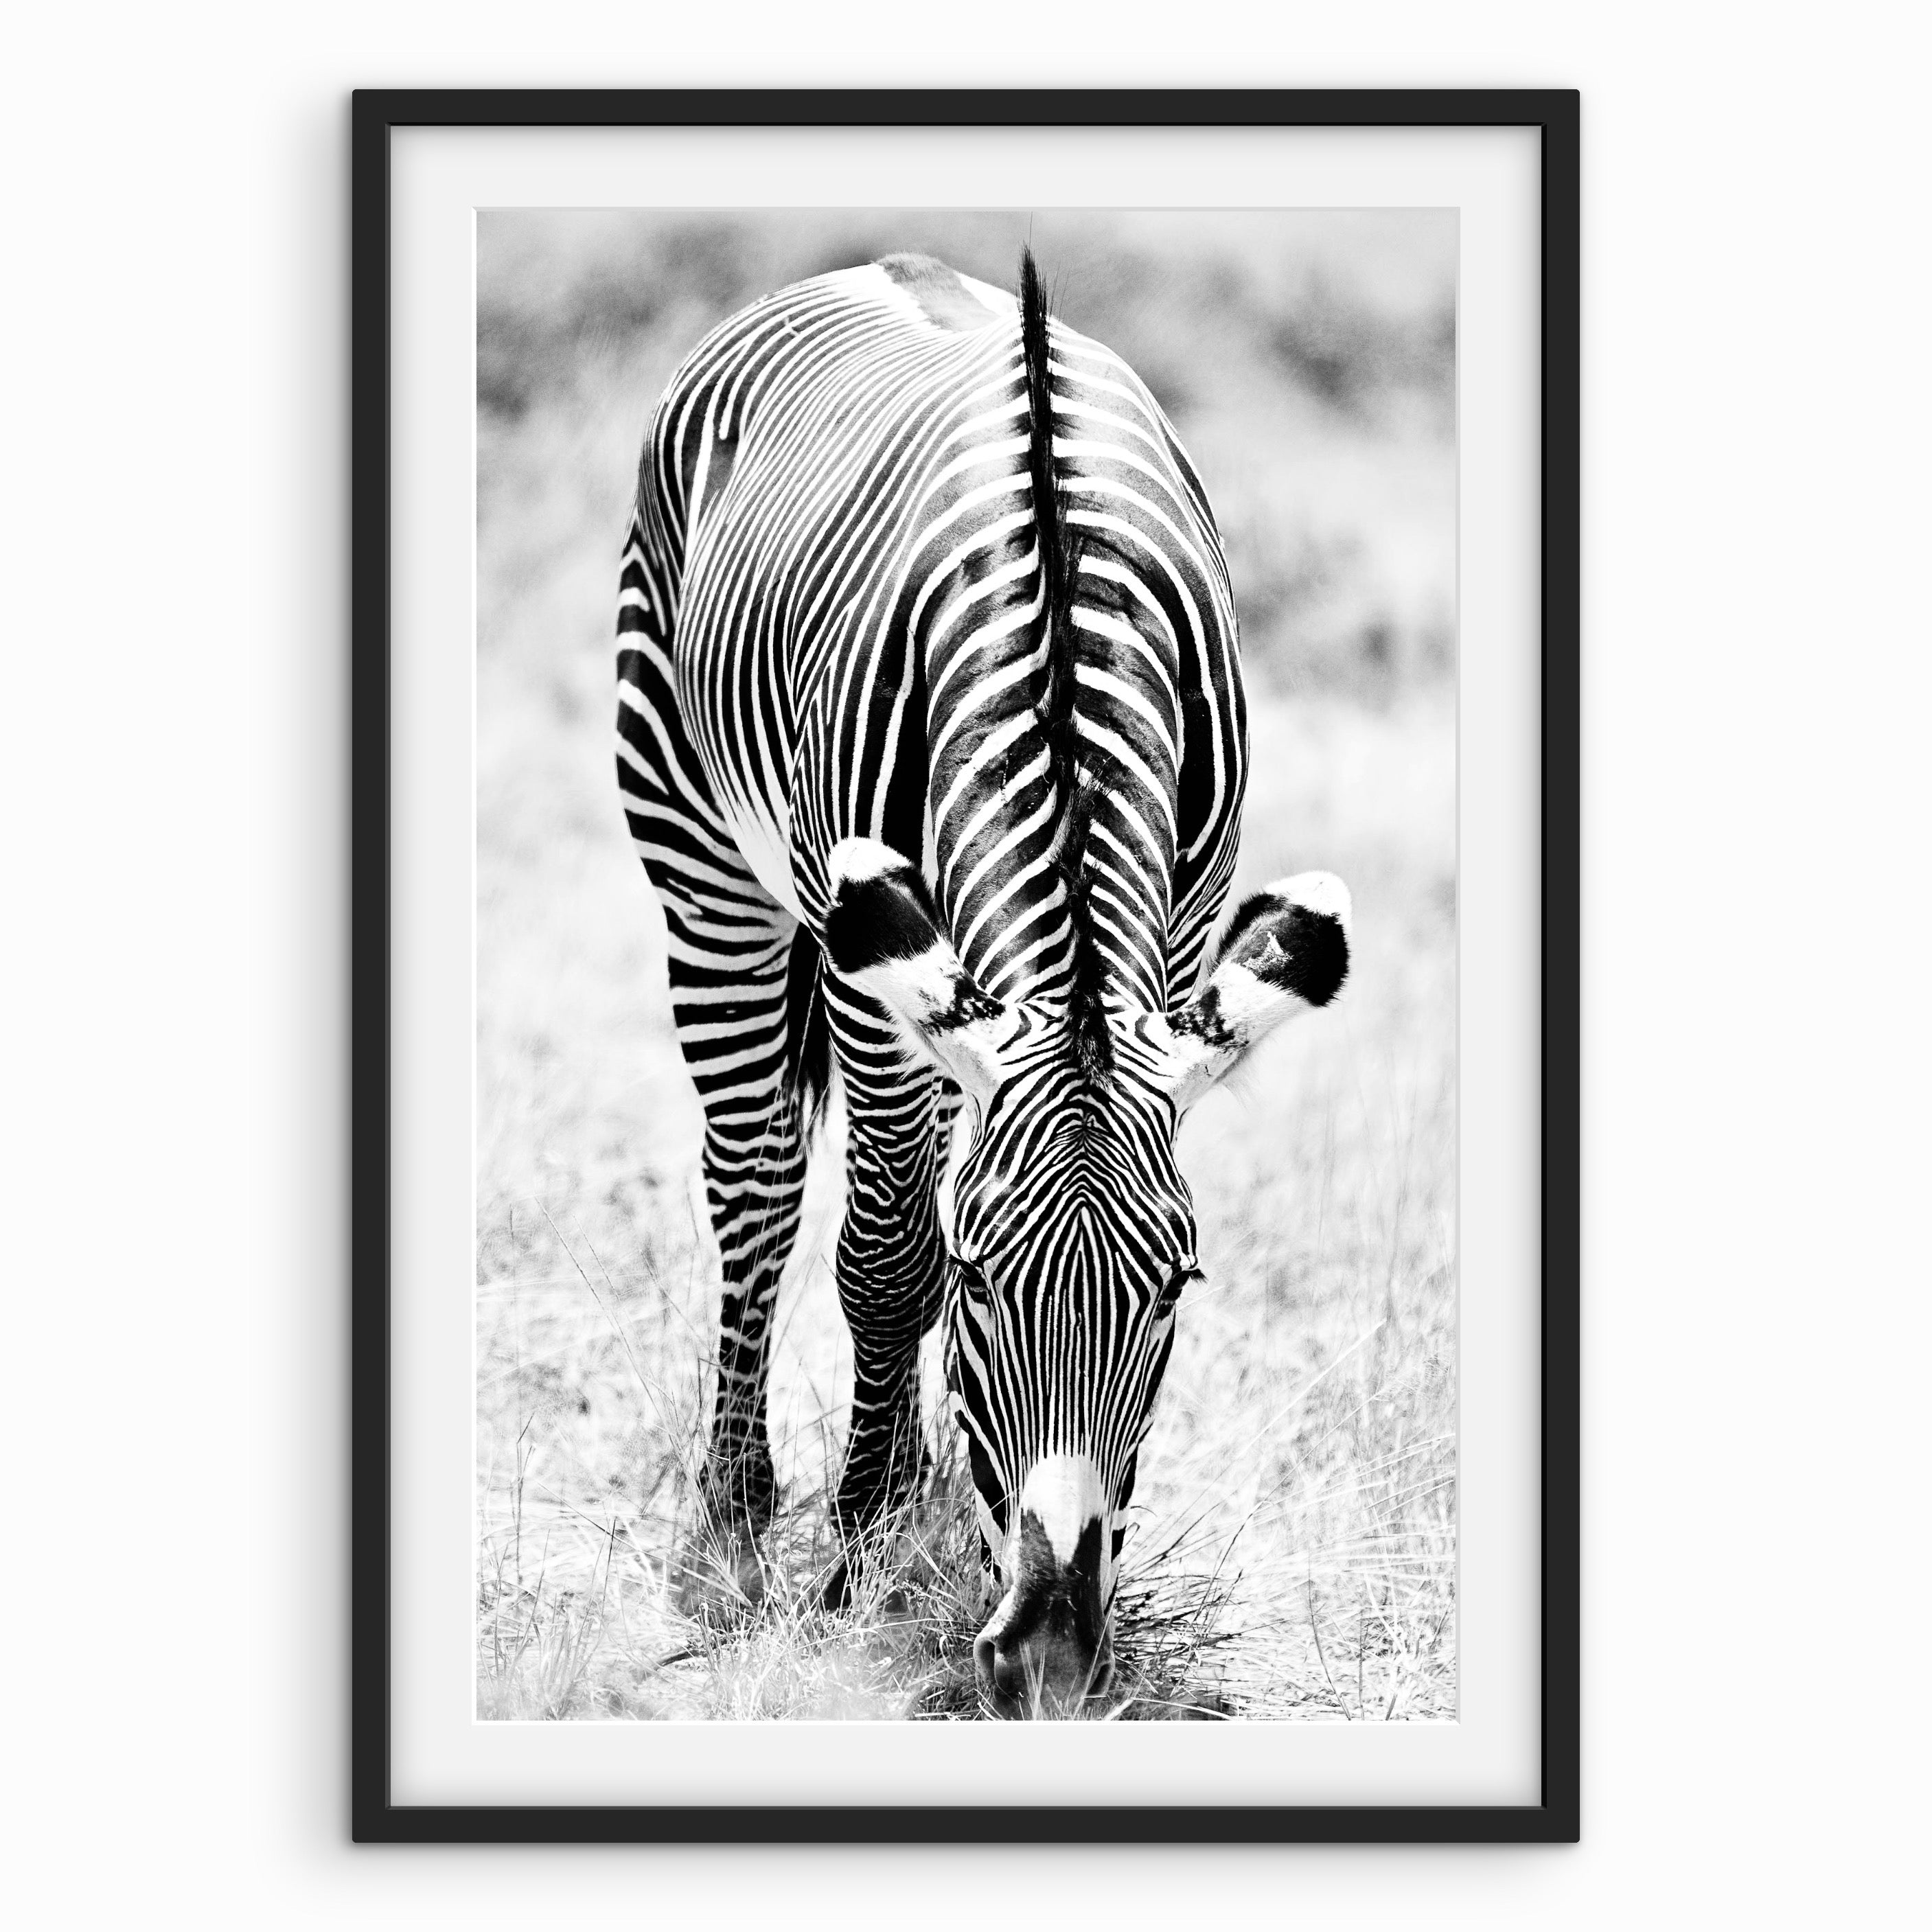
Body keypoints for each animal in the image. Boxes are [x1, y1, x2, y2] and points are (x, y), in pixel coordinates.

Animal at [615, 248, 1351, 1714]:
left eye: (1176, 1280)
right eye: (976, 1276)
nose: (1051, 1651)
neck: (1066, 631)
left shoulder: (1171, 937)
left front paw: (926, 1526)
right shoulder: (870, 975)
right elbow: (881, 1250)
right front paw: (862, 1556)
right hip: (698, 849)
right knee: (758, 1189)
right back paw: (733, 1533)